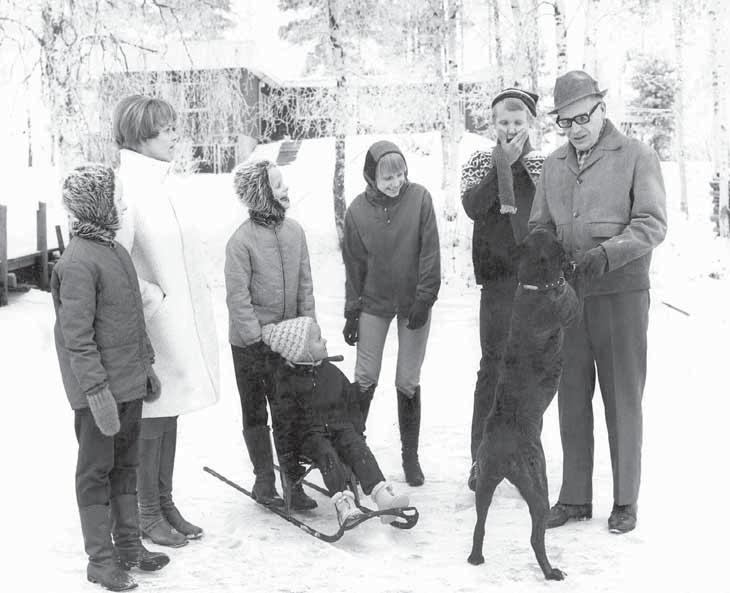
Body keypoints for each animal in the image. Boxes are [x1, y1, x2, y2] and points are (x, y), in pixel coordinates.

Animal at [466, 229, 580, 580]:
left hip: (485, 482)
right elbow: (573, 296)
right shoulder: (568, 304)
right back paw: (550, 571)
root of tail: (503, 448)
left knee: (479, 525)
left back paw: (476, 556)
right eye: (554, 238)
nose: (562, 235)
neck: (533, 283)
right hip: (537, 487)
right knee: (535, 537)